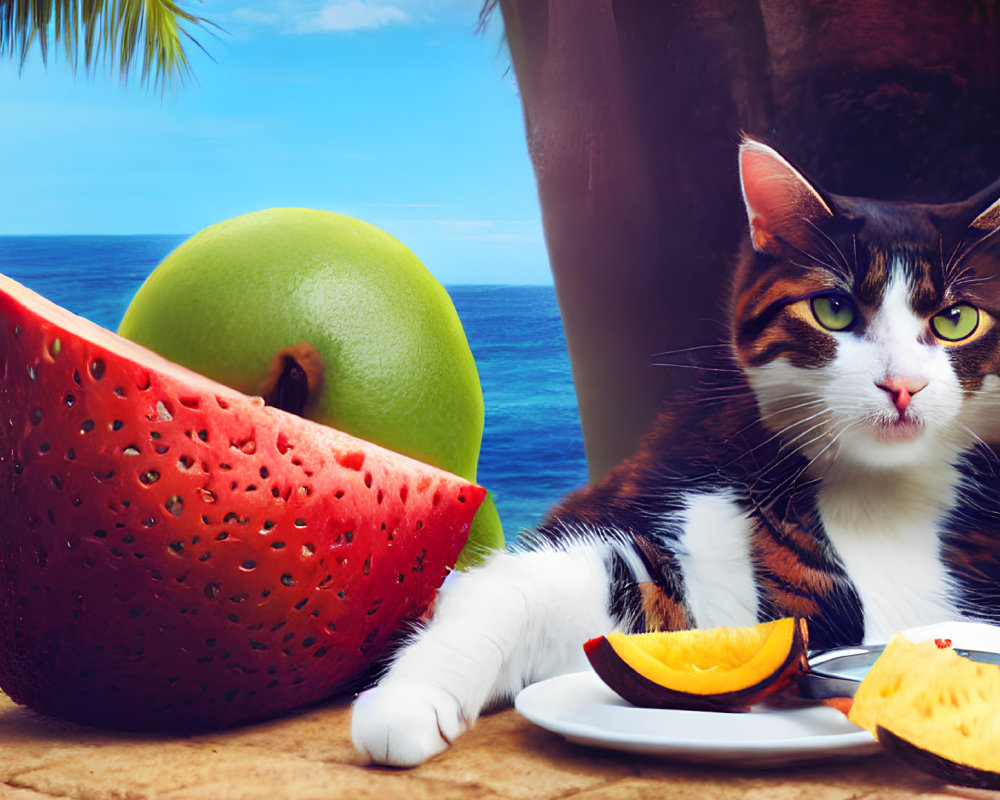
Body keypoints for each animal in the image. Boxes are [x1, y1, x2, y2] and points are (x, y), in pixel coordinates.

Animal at [348, 139, 1000, 768]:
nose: (902, 385)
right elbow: (528, 588)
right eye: (834, 310)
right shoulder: (669, 509)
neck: (880, 500)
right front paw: (409, 700)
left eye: (957, 319)